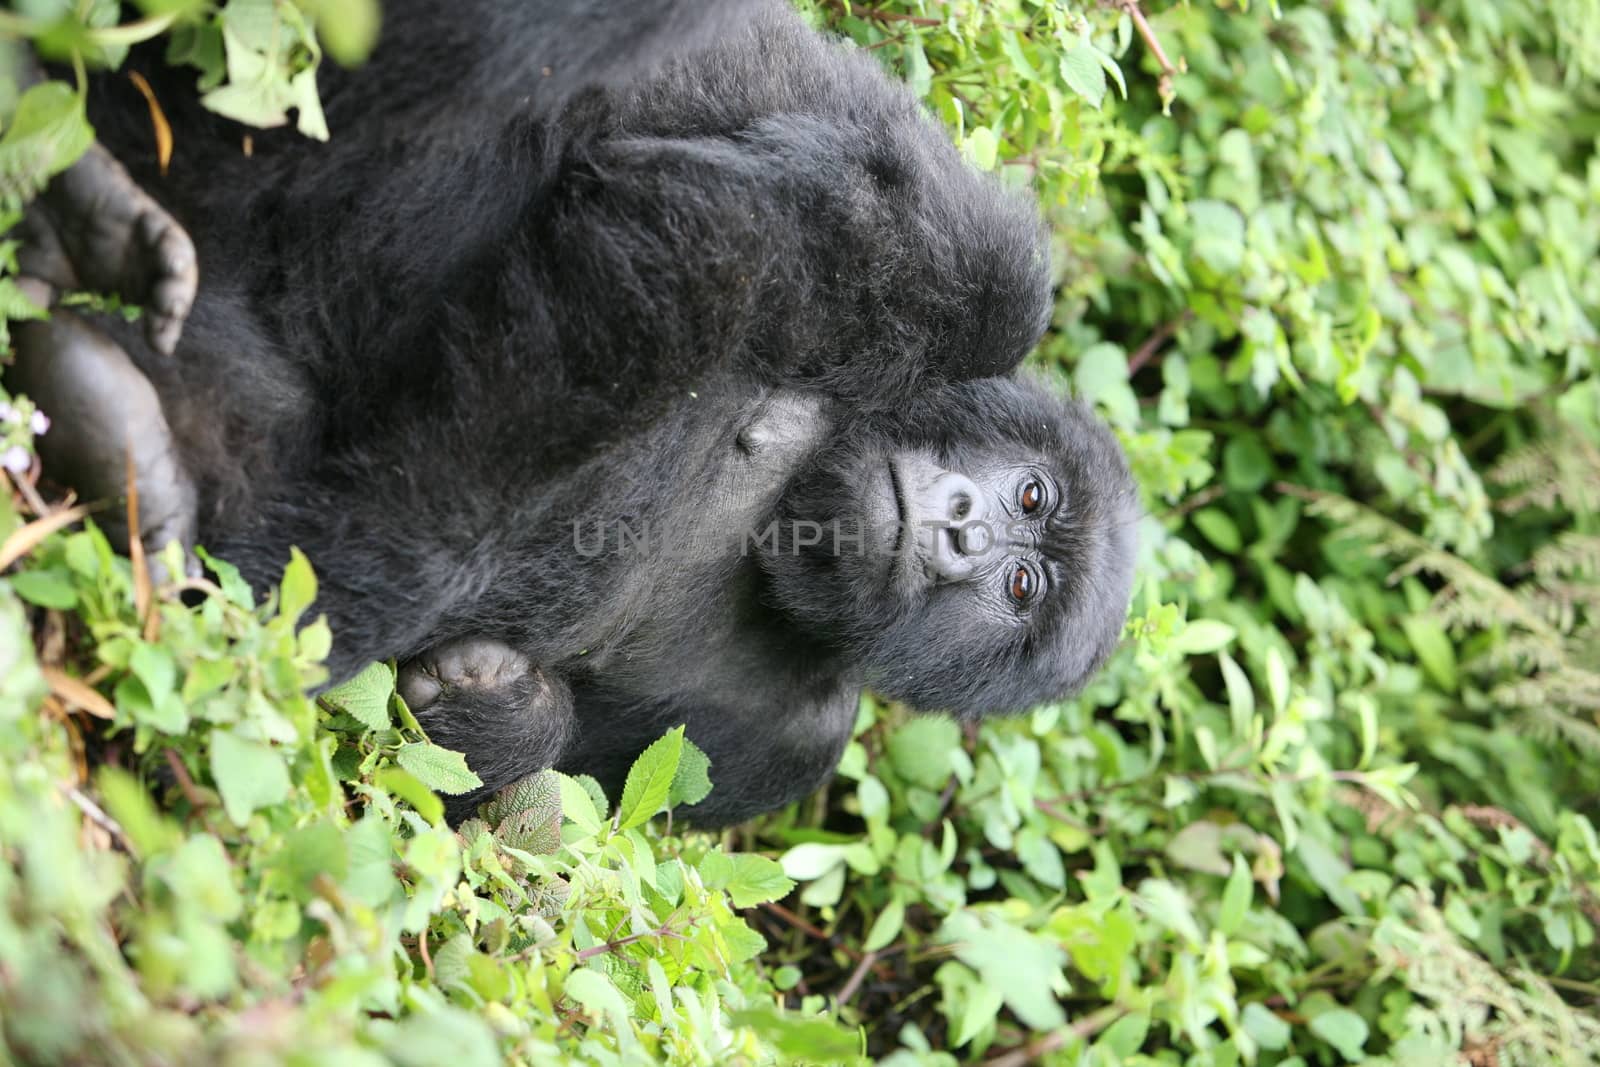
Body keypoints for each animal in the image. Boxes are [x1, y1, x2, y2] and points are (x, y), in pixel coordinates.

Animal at [9, 0, 1139, 825]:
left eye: (1021, 586)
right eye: (1031, 496)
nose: (963, 530)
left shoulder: (790, 749)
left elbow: (544, 794)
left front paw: (502, 714)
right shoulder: (981, 275)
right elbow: (711, 242)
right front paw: (304, 616)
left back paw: (107, 402)